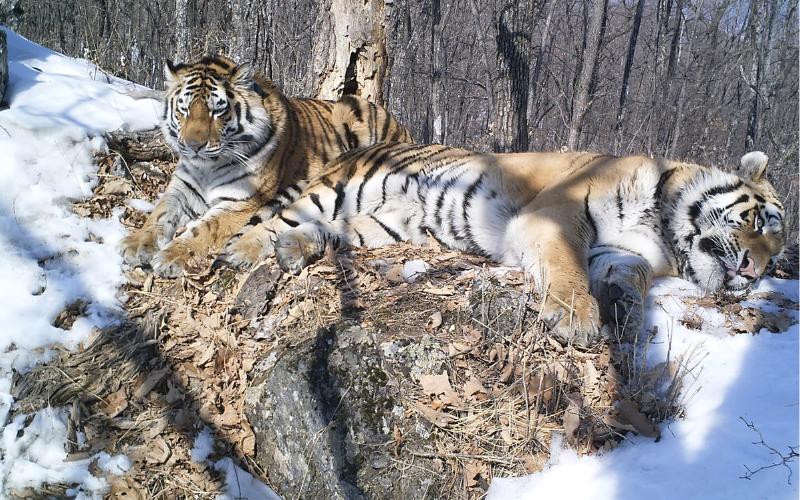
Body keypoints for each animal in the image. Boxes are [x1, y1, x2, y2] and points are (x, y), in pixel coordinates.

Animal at [118, 54, 412, 278]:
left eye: (217, 110)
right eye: (184, 110)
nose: (193, 146)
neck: (207, 167)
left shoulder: (241, 202)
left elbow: (203, 229)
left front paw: (170, 256)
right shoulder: (182, 188)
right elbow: (159, 215)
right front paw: (135, 245)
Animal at [219, 142, 788, 348]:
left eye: (777, 256)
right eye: (761, 224)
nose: (755, 273)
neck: (664, 227)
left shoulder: (624, 252)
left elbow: (630, 276)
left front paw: (624, 309)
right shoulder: (557, 215)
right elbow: (567, 268)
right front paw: (577, 318)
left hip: (383, 224)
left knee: (326, 231)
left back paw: (295, 250)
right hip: (341, 188)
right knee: (270, 220)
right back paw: (240, 253)